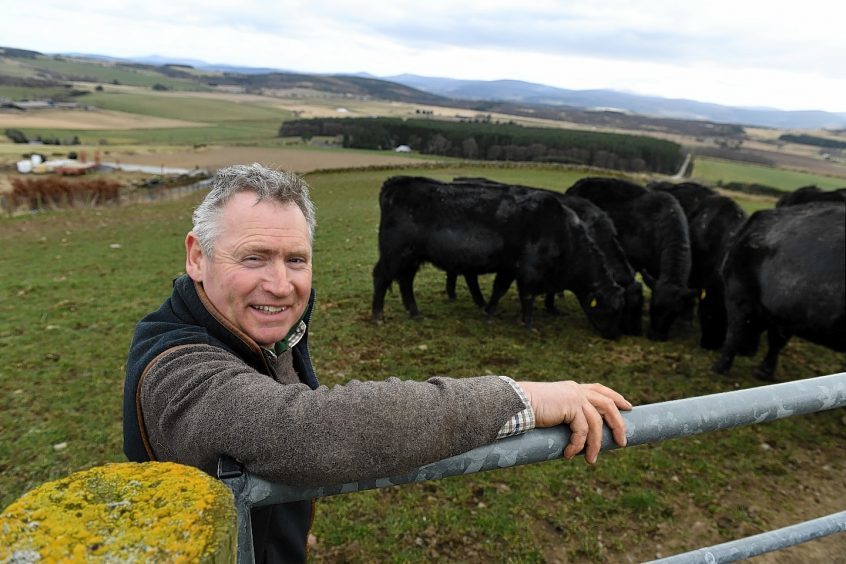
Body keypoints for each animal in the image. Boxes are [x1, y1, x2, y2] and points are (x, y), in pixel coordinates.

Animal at [716, 200, 846, 382]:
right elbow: (776, 339)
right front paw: (765, 372)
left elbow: (733, 334)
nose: (747, 351)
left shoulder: (738, 294)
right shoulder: (785, 310)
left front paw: (719, 368)